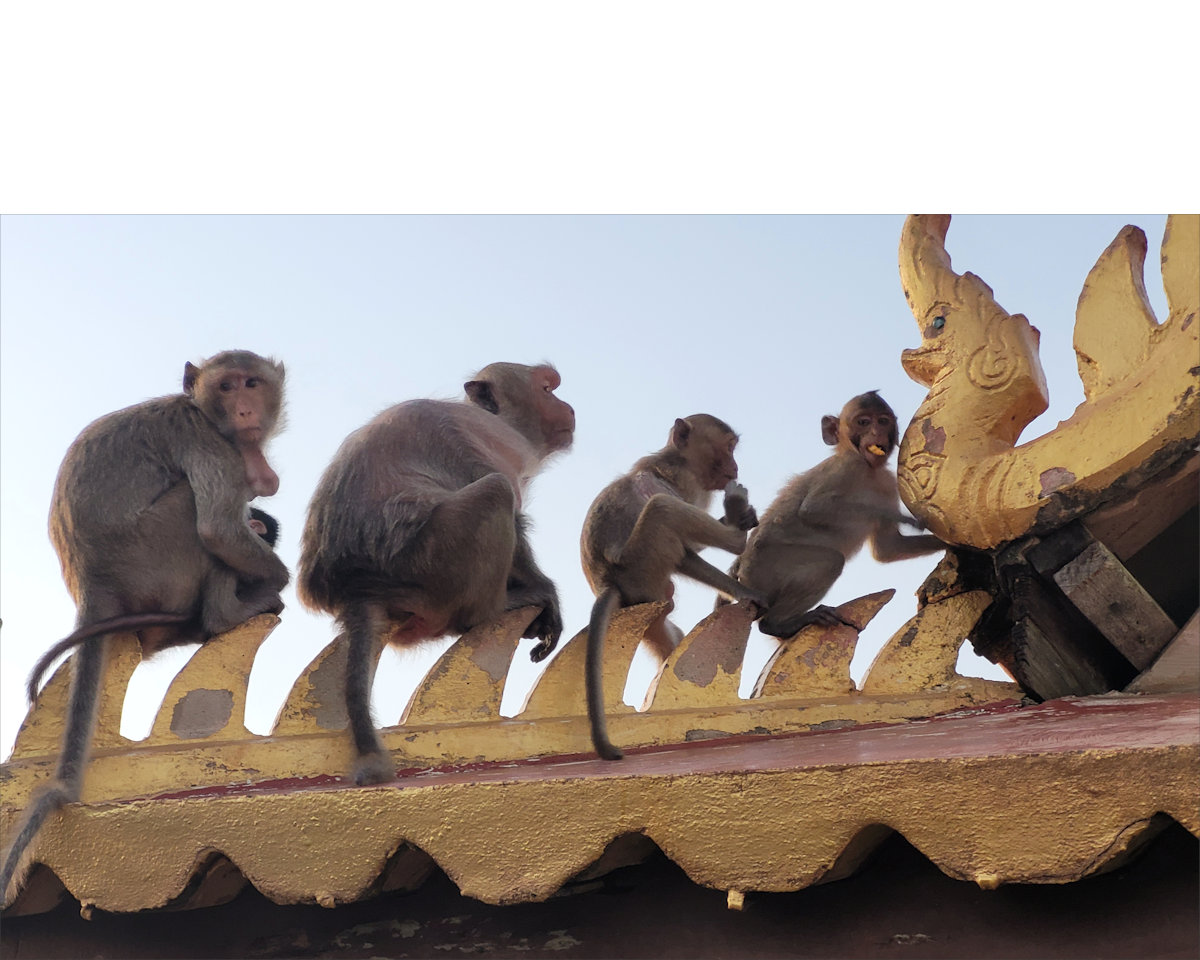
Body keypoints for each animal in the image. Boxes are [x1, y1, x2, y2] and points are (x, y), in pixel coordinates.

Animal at [1, 350, 289, 903]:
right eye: (226, 386)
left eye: (252, 382)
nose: (244, 410)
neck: (202, 412)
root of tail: (93, 587)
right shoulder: (212, 446)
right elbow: (218, 528)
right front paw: (278, 573)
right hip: (155, 550)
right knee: (197, 509)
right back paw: (229, 611)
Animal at [297, 362, 575, 786]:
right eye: (546, 389)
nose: (568, 406)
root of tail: (360, 586)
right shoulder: (484, 439)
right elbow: (513, 517)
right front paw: (545, 591)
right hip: (433, 559)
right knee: (494, 493)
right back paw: (495, 608)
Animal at [580, 414, 767, 761]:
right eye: (729, 447)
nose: (735, 466)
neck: (679, 460)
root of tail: (609, 584)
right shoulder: (678, 479)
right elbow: (686, 550)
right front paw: (745, 590)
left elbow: (687, 552)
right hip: (639, 564)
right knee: (662, 508)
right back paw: (736, 536)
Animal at [731, 391, 945, 638]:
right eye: (863, 422)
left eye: (883, 421)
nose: (876, 432)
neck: (869, 471)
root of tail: (742, 568)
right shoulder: (847, 467)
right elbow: (814, 508)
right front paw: (904, 518)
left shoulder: (888, 484)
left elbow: (889, 548)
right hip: (765, 567)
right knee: (831, 561)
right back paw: (777, 624)